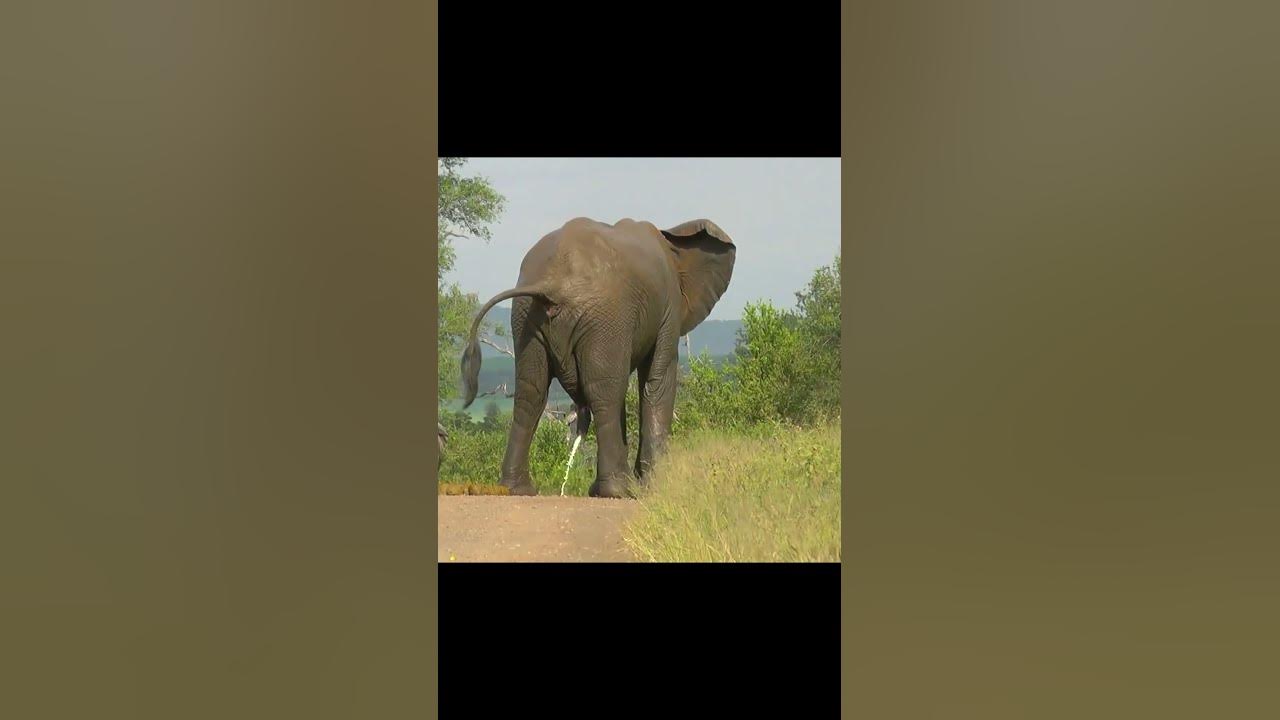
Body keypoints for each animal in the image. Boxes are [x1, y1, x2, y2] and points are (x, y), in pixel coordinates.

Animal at [461, 217, 735, 498]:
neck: (673, 239)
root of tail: (552, 282)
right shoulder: (668, 307)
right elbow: (658, 380)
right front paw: (654, 486)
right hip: (604, 317)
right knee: (604, 392)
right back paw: (618, 490)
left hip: (527, 317)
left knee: (531, 393)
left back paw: (517, 489)